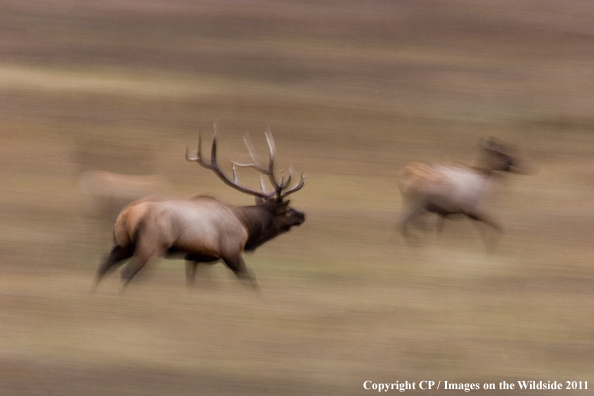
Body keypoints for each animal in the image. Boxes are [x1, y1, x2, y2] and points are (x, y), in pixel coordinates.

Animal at [93, 125, 306, 292]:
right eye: (288, 211)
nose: (302, 215)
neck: (246, 226)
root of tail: (128, 214)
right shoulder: (231, 252)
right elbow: (250, 280)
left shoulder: (195, 257)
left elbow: (192, 282)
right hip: (149, 244)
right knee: (126, 272)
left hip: (121, 243)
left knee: (102, 267)